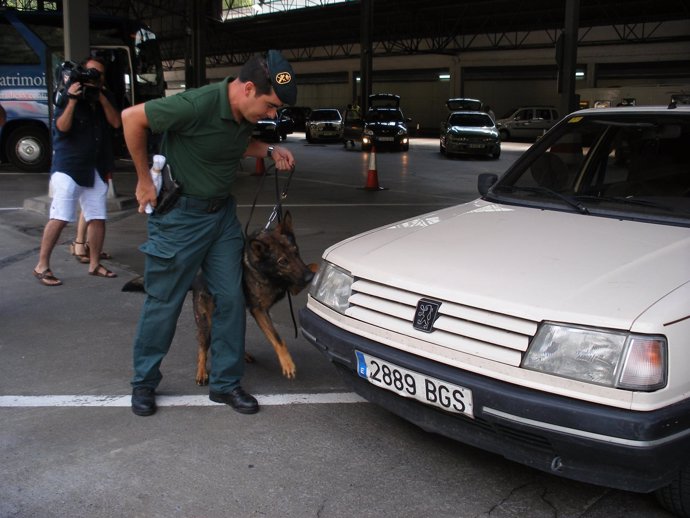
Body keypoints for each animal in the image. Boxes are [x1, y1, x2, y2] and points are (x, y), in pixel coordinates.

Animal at [123, 211, 314, 382]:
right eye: (283, 261)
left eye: (296, 252)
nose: (308, 278)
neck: (266, 271)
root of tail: (196, 278)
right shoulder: (259, 310)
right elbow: (277, 337)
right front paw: (287, 364)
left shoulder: (292, 284)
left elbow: (308, 269)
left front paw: (314, 271)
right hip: (205, 324)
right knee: (203, 347)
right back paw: (201, 372)